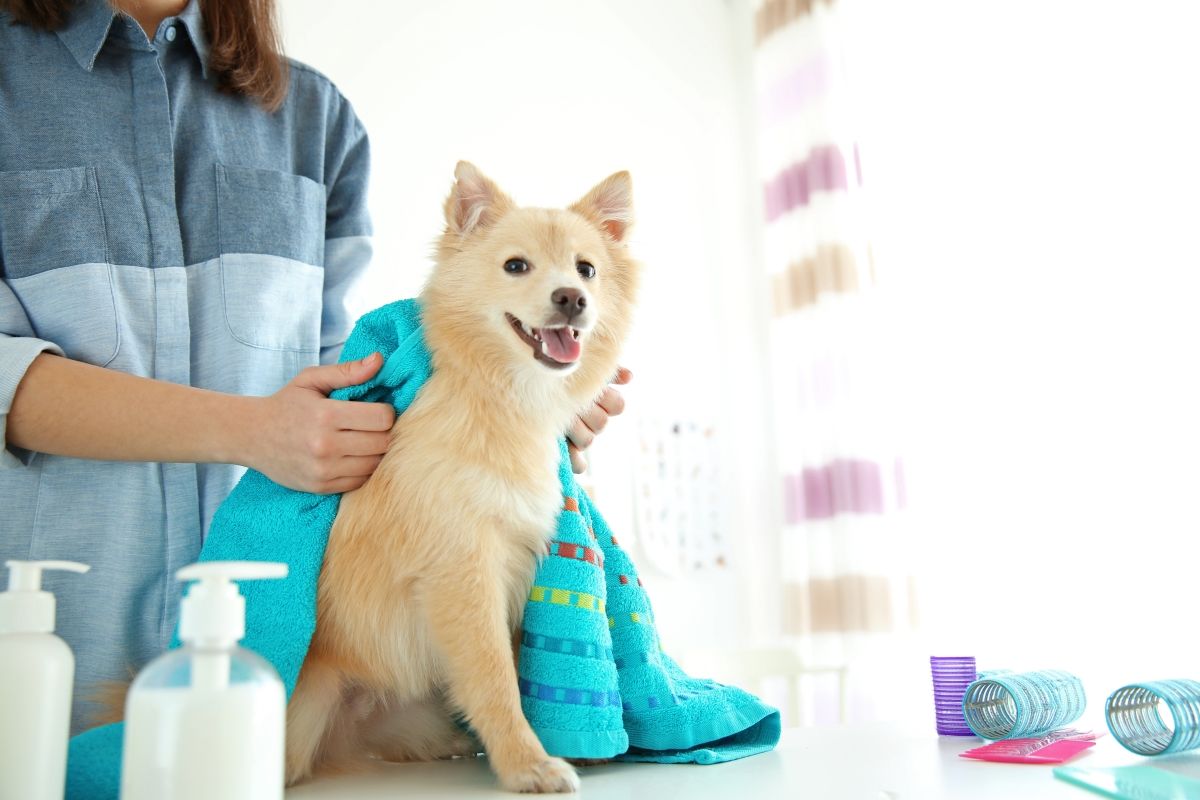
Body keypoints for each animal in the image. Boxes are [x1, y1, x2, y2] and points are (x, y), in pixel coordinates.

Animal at [282, 163, 643, 796]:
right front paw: (528, 762)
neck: (505, 405)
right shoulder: (462, 572)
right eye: (516, 266)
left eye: (588, 270)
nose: (571, 299)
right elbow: (495, 678)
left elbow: (518, 668)